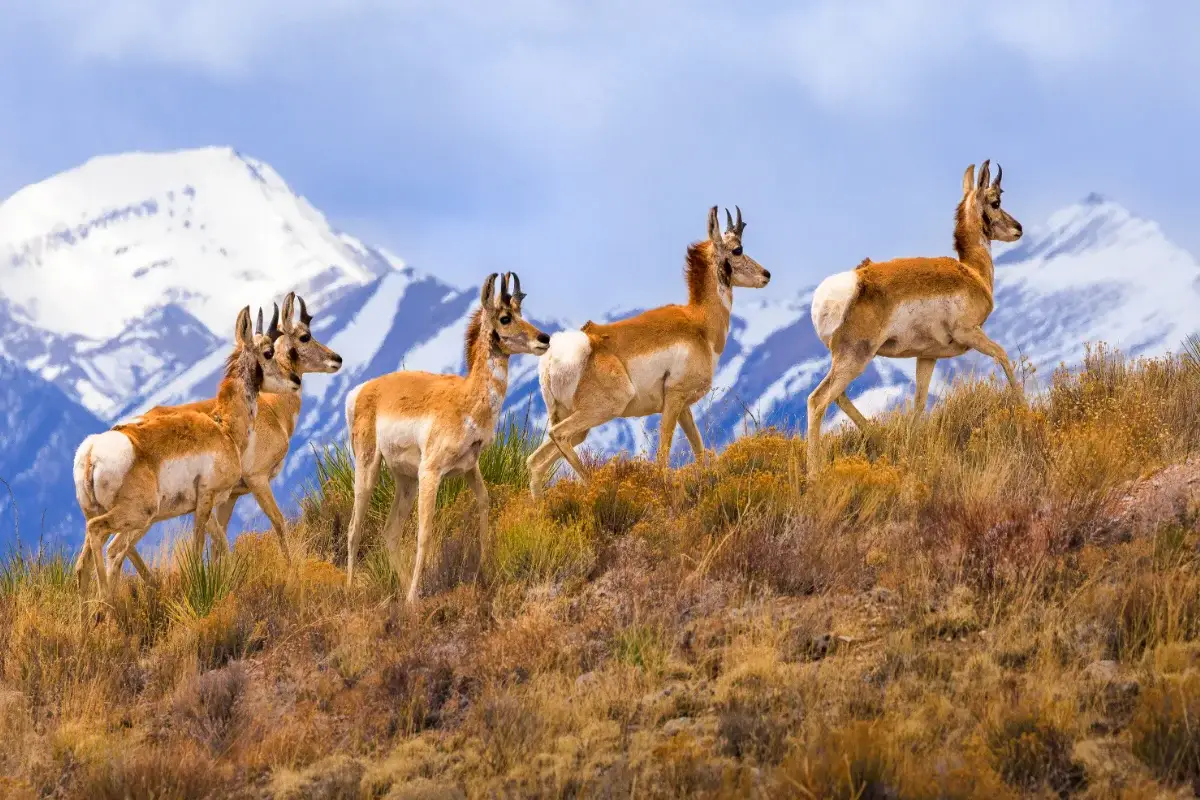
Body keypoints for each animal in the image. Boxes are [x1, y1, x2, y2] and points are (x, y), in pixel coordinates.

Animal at [72, 307, 301, 598]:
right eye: (269, 352)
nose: (295, 380)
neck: (223, 427)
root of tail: (92, 451)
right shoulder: (206, 499)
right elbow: (197, 548)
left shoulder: (207, 505)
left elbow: (222, 545)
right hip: (137, 514)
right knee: (108, 545)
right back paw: (105, 604)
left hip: (97, 512)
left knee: (84, 565)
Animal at [125, 293, 341, 565]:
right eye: (305, 336)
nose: (337, 359)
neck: (272, 409)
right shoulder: (257, 479)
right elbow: (278, 522)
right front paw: (291, 566)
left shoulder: (231, 496)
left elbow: (219, 542)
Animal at [344, 272, 549, 604]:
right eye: (505, 317)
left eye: (521, 312)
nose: (545, 338)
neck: (466, 399)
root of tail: (362, 391)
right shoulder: (431, 472)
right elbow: (425, 533)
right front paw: (414, 598)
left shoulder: (469, 468)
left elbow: (484, 506)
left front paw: (484, 570)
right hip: (369, 468)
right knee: (354, 528)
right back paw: (354, 590)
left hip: (405, 480)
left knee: (389, 532)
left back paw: (402, 587)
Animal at [527, 206, 770, 498]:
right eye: (737, 249)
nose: (767, 274)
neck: (699, 323)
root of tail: (559, 355)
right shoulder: (675, 399)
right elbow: (663, 456)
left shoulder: (683, 407)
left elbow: (699, 451)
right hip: (603, 409)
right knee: (558, 438)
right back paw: (595, 483)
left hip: (572, 421)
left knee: (536, 462)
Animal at [806, 160, 1024, 475]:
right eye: (996, 202)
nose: (1019, 229)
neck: (972, 273)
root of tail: (846, 285)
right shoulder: (970, 333)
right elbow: (1004, 355)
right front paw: (1024, 405)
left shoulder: (927, 356)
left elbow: (919, 403)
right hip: (855, 357)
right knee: (818, 399)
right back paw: (814, 472)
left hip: (847, 359)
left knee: (839, 396)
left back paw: (880, 438)